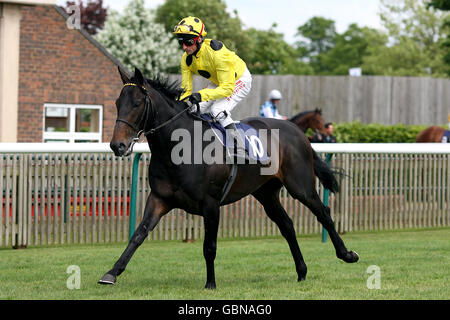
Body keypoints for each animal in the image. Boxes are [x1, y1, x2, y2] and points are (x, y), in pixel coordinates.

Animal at [99, 66, 358, 288]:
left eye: (137, 103)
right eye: (117, 103)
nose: (117, 145)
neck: (180, 147)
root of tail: (298, 132)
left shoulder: (211, 203)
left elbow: (210, 246)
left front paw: (210, 283)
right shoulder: (159, 199)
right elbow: (138, 234)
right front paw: (111, 273)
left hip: (300, 186)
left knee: (323, 213)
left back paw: (347, 254)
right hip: (266, 193)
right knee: (287, 225)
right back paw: (302, 271)